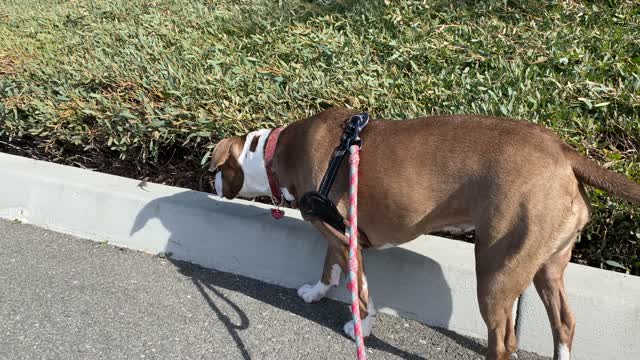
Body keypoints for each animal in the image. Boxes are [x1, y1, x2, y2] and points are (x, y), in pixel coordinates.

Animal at [209, 107, 640, 360]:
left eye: (217, 167)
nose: (208, 181)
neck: (277, 153)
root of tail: (562, 150)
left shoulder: (346, 239)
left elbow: (360, 291)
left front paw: (361, 328)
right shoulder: (336, 233)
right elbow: (328, 266)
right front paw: (316, 292)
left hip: (497, 272)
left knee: (504, 341)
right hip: (549, 263)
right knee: (563, 323)